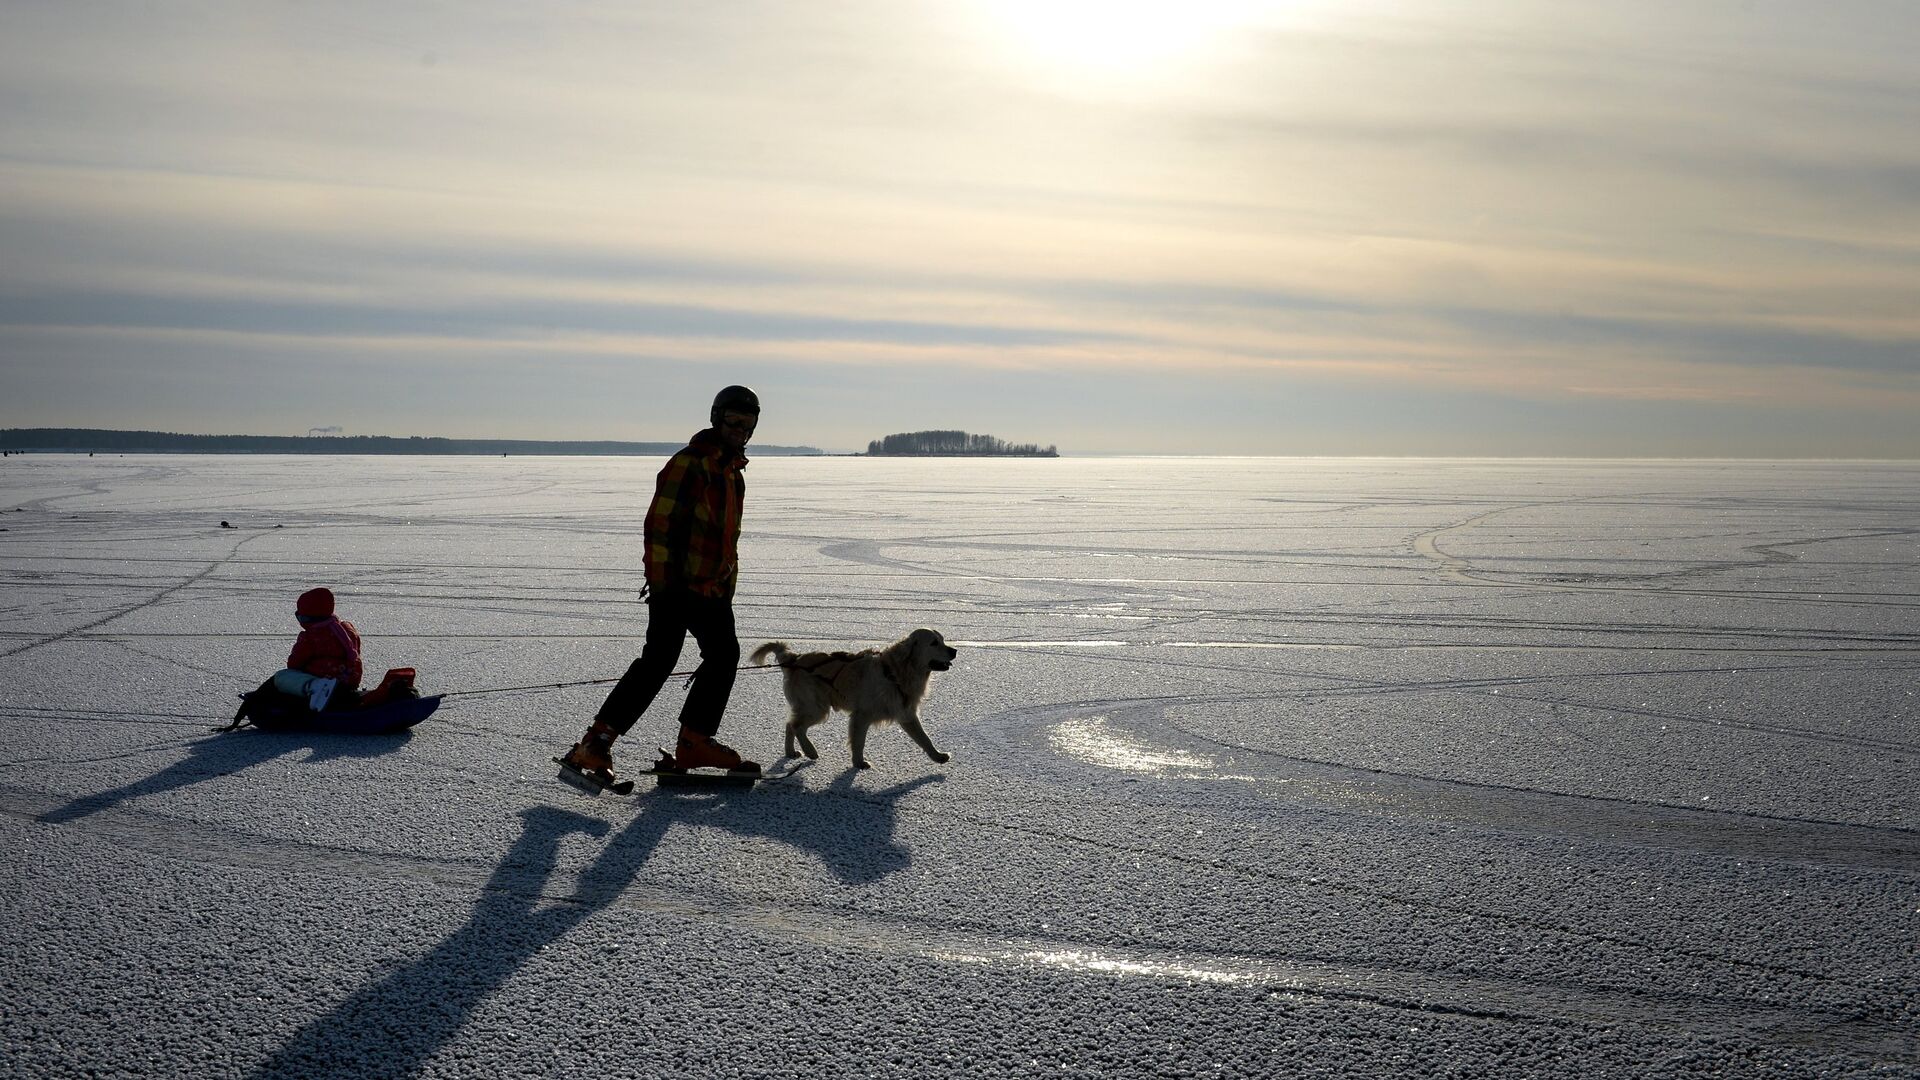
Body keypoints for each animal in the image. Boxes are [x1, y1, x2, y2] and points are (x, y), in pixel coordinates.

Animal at [748, 626, 960, 768]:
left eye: (942, 639)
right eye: (934, 643)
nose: (954, 650)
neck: (894, 671)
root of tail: (794, 658)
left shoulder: (906, 713)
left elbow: (924, 738)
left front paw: (938, 756)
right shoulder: (861, 715)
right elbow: (859, 742)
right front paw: (859, 763)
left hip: (809, 706)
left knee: (789, 724)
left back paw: (791, 752)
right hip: (816, 707)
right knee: (796, 726)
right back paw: (810, 751)